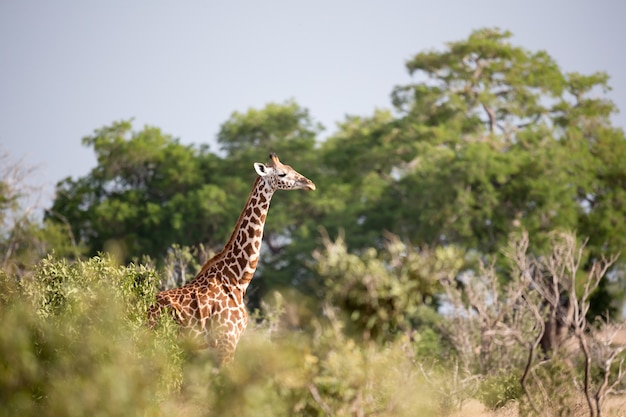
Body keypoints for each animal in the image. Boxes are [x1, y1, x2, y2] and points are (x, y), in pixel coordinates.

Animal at [147, 153, 316, 364]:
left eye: (291, 167)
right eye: (282, 173)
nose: (310, 184)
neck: (237, 278)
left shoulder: (218, 344)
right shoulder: (227, 339)